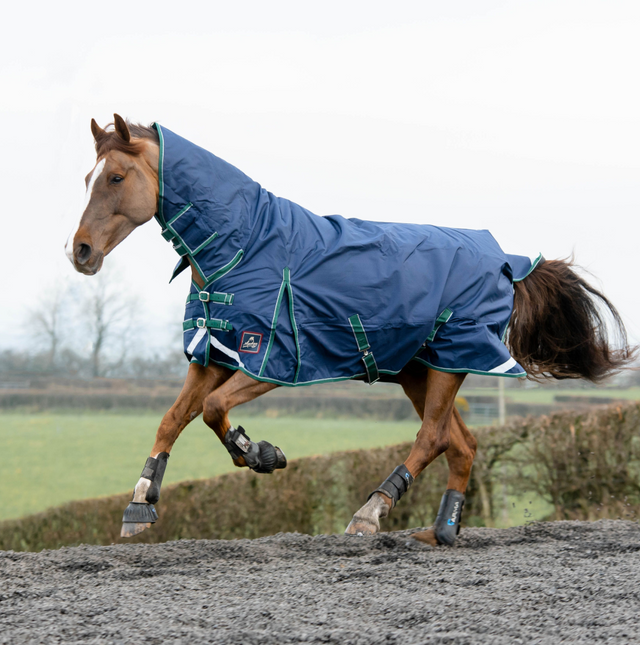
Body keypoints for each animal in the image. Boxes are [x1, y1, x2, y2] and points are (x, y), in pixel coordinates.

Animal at [66, 114, 636, 544]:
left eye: (116, 178)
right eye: (88, 178)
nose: (81, 252)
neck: (246, 245)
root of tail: (506, 261)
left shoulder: (271, 357)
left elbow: (212, 409)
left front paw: (260, 454)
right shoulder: (214, 352)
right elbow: (173, 418)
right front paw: (141, 503)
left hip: (452, 359)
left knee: (433, 437)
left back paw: (371, 513)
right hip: (418, 369)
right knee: (463, 444)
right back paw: (442, 531)